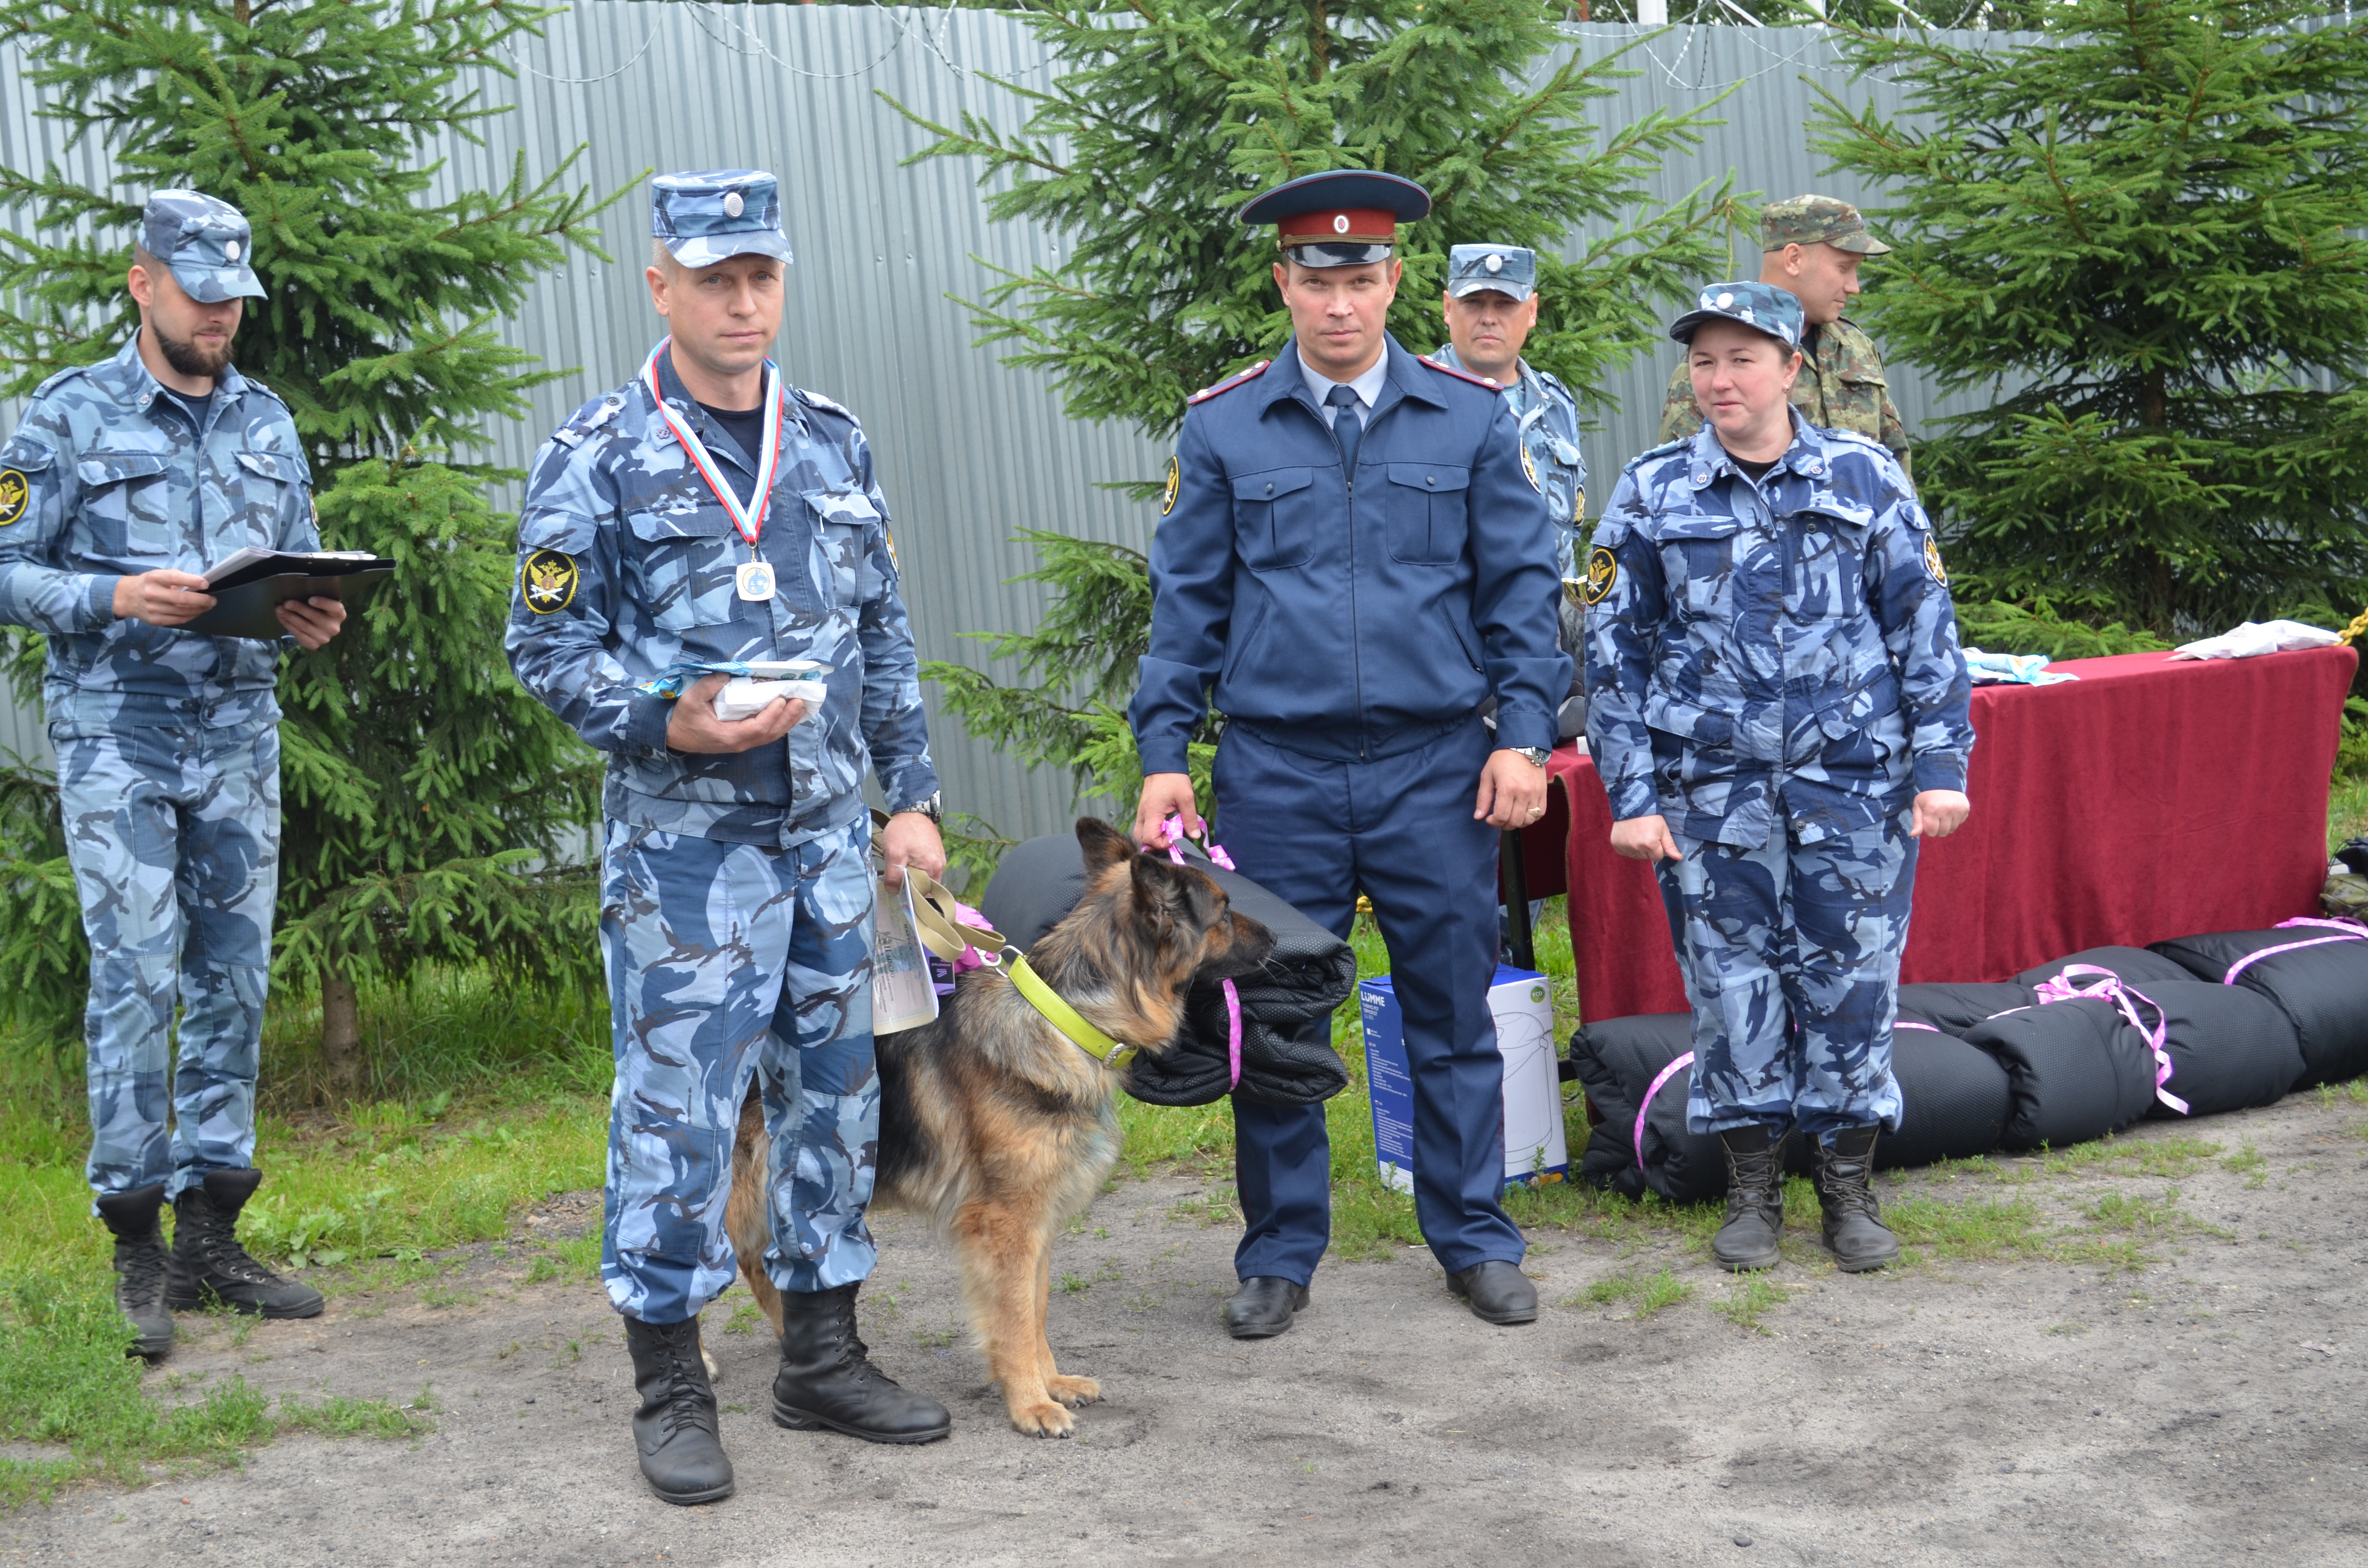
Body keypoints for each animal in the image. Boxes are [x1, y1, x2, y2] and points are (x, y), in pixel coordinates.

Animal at [720, 815, 1279, 1440]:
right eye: (1224, 913)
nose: (1278, 939)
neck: (1065, 1021)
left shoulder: (1038, 1224)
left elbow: (1034, 1308)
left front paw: (1049, 1382)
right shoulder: (1008, 1224)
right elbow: (1012, 1315)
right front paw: (1030, 1404)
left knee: (757, 1263)